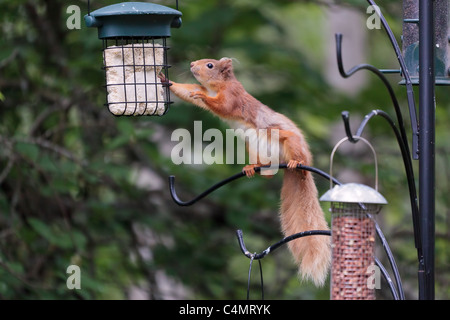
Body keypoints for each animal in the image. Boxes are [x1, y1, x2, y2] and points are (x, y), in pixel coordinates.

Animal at [162, 57, 330, 284]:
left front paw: (203, 96)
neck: (217, 87)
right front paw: (165, 80)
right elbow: (187, 90)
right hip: (254, 147)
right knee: (268, 173)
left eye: (210, 65)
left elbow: (222, 106)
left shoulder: (233, 96)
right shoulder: (200, 88)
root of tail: (286, 162)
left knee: (297, 159)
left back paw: (298, 164)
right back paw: (253, 168)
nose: (192, 64)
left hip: (290, 141)